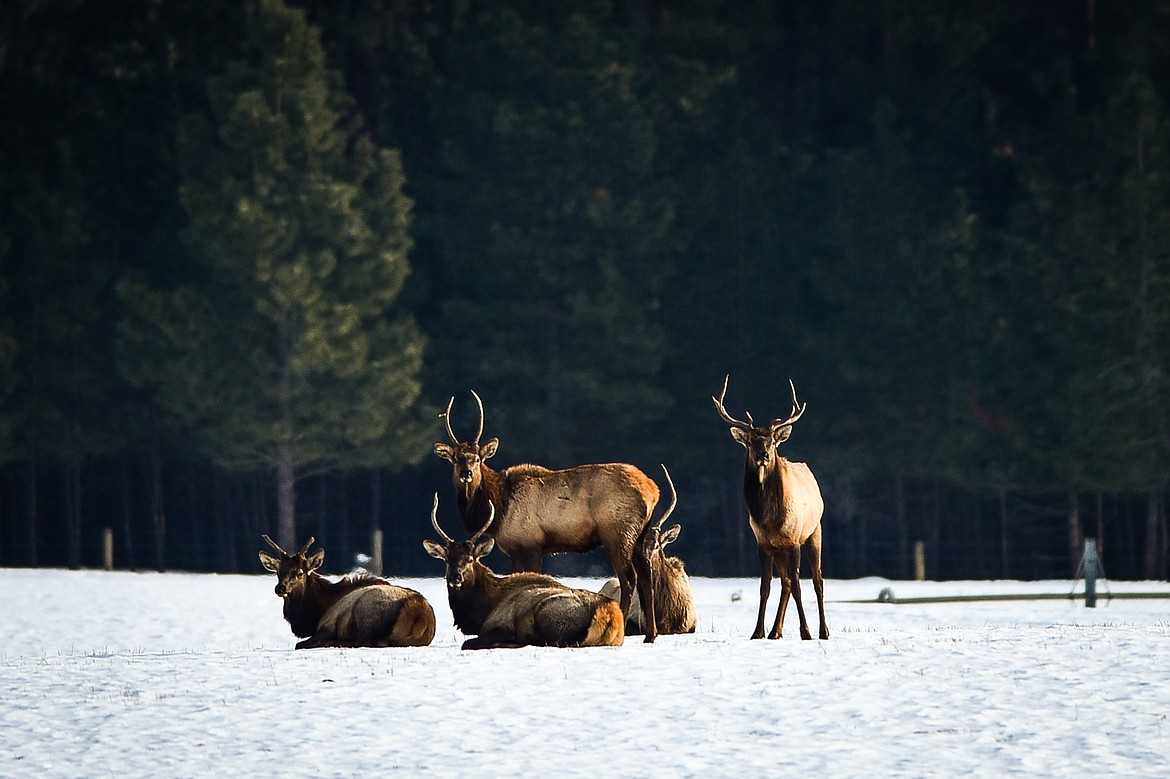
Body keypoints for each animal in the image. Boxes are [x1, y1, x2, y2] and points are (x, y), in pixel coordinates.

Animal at [258, 533, 437, 650]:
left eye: (300, 572)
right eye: (278, 572)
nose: (280, 588)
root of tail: (420, 615)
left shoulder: (326, 626)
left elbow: (299, 644)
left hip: (366, 609)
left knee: (366, 641)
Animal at [418, 491, 622, 650]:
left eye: (470, 559)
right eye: (447, 560)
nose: (456, 577)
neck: (481, 609)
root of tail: (611, 617)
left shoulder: (501, 625)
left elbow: (467, 643)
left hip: (548, 612)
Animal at [435, 390, 664, 640]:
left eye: (477, 458)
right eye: (456, 459)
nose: (466, 473)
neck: (498, 508)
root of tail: (653, 491)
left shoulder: (529, 545)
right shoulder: (517, 550)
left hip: (617, 535)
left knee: (629, 578)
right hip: (639, 536)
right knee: (646, 575)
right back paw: (651, 634)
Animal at [711, 374, 833, 636]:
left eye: (773, 442)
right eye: (750, 442)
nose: (763, 455)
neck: (769, 517)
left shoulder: (794, 540)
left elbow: (798, 585)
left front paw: (805, 632)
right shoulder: (764, 543)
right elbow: (765, 587)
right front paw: (757, 632)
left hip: (814, 531)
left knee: (817, 580)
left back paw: (823, 631)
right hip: (780, 549)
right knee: (785, 582)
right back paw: (775, 631)